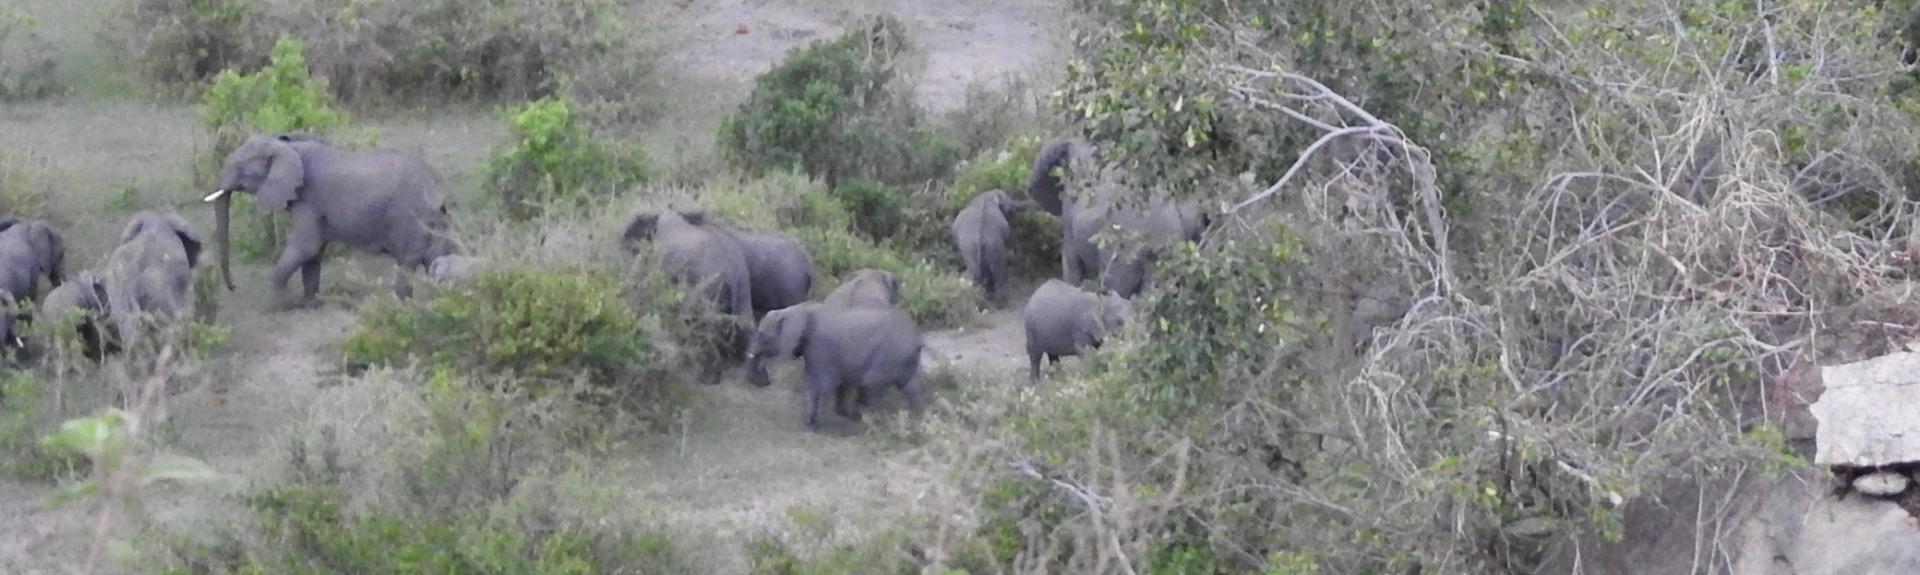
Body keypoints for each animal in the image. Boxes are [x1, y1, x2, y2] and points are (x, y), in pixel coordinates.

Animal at [203, 134, 453, 309]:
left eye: (239, 167)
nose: (233, 287)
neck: (289, 147)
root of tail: (438, 185)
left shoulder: (308, 198)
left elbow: (306, 246)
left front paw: (278, 305)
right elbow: (314, 252)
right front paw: (310, 305)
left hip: (409, 216)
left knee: (407, 261)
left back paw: (401, 306)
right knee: (435, 256)